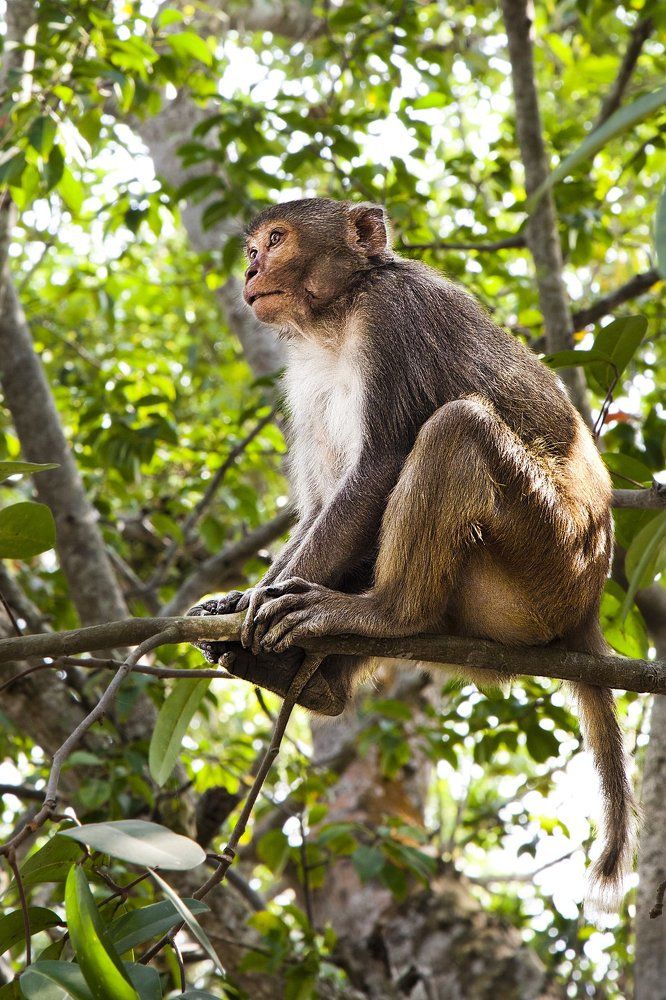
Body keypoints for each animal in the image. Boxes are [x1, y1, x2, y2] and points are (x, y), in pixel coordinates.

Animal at [188, 197, 635, 907]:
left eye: (277, 240)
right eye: (254, 247)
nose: (252, 270)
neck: (337, 316)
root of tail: (588, 607)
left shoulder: (394, 316)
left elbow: (379, 468)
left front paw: (253, 605)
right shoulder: (303, 377)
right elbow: (324, 505)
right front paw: (238, 604)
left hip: (544, 565)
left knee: (456, 428)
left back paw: (387, 612)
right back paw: (319, 685)